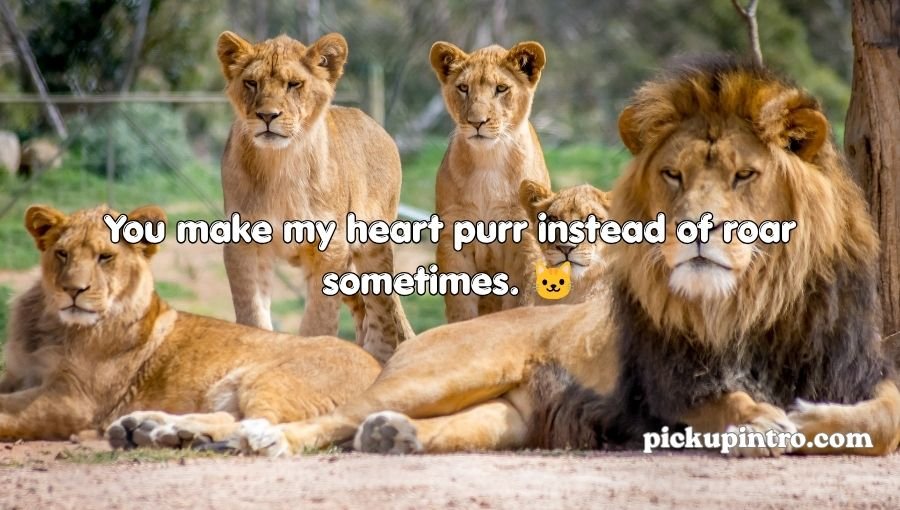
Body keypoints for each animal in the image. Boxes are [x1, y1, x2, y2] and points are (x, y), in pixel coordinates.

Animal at [0, 204, 380, 445]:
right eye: (62, 254)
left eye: (105, 257)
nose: (73, 290)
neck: (52, 324)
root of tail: (379, 367)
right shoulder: (19, 374)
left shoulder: (74, 399)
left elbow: (7, 411)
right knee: (232, 418)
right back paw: (151, 429)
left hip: (270, 378)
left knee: (256, 423)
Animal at [217, 31, 413, 363]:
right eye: (251, 83)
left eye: (294, 84)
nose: (267, 116)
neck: (279, 164)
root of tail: (377, 126)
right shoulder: (243, 244)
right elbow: (252, 313)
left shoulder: (330, 247)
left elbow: (318, 319)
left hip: (372, 246)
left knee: (381, 313)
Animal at [430, 40, 552, 322]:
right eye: (463, 88)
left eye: (501, 88)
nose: (477, 122)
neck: (489, 160)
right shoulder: (454, 236)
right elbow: (461, 306)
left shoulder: (524, 241)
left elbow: (521, 301)